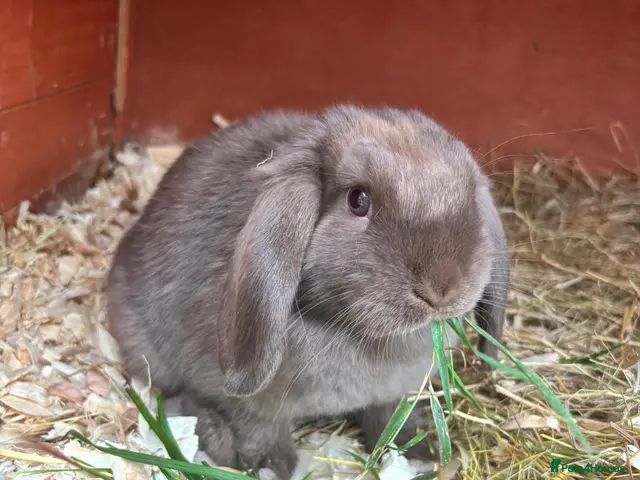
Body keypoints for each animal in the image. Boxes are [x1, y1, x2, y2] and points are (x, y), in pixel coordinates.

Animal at [105, 104, 509, 479]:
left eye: (468, 196)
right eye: (358, 200)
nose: (442, 288)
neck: (350, 331)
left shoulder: (393, 395)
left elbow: (390, 419)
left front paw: (421, 454)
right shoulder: (246, 404)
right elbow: (259, 432)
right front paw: (273, 468)